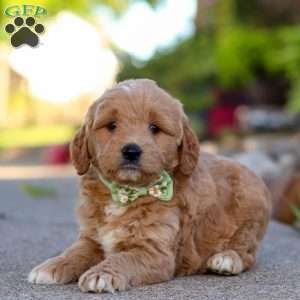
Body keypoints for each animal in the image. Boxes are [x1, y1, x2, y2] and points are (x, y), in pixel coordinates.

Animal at [28, 78, 272, 292]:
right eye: (112, 125)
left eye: (154, 128)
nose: (131, 150)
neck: (126, 191)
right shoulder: (91, 237)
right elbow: (75, 252)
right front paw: (52, 266)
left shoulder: (154, 253)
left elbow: (124, 258)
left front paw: (101, 274)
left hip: (249, 214)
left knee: (248, 252)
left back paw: (227, 258)